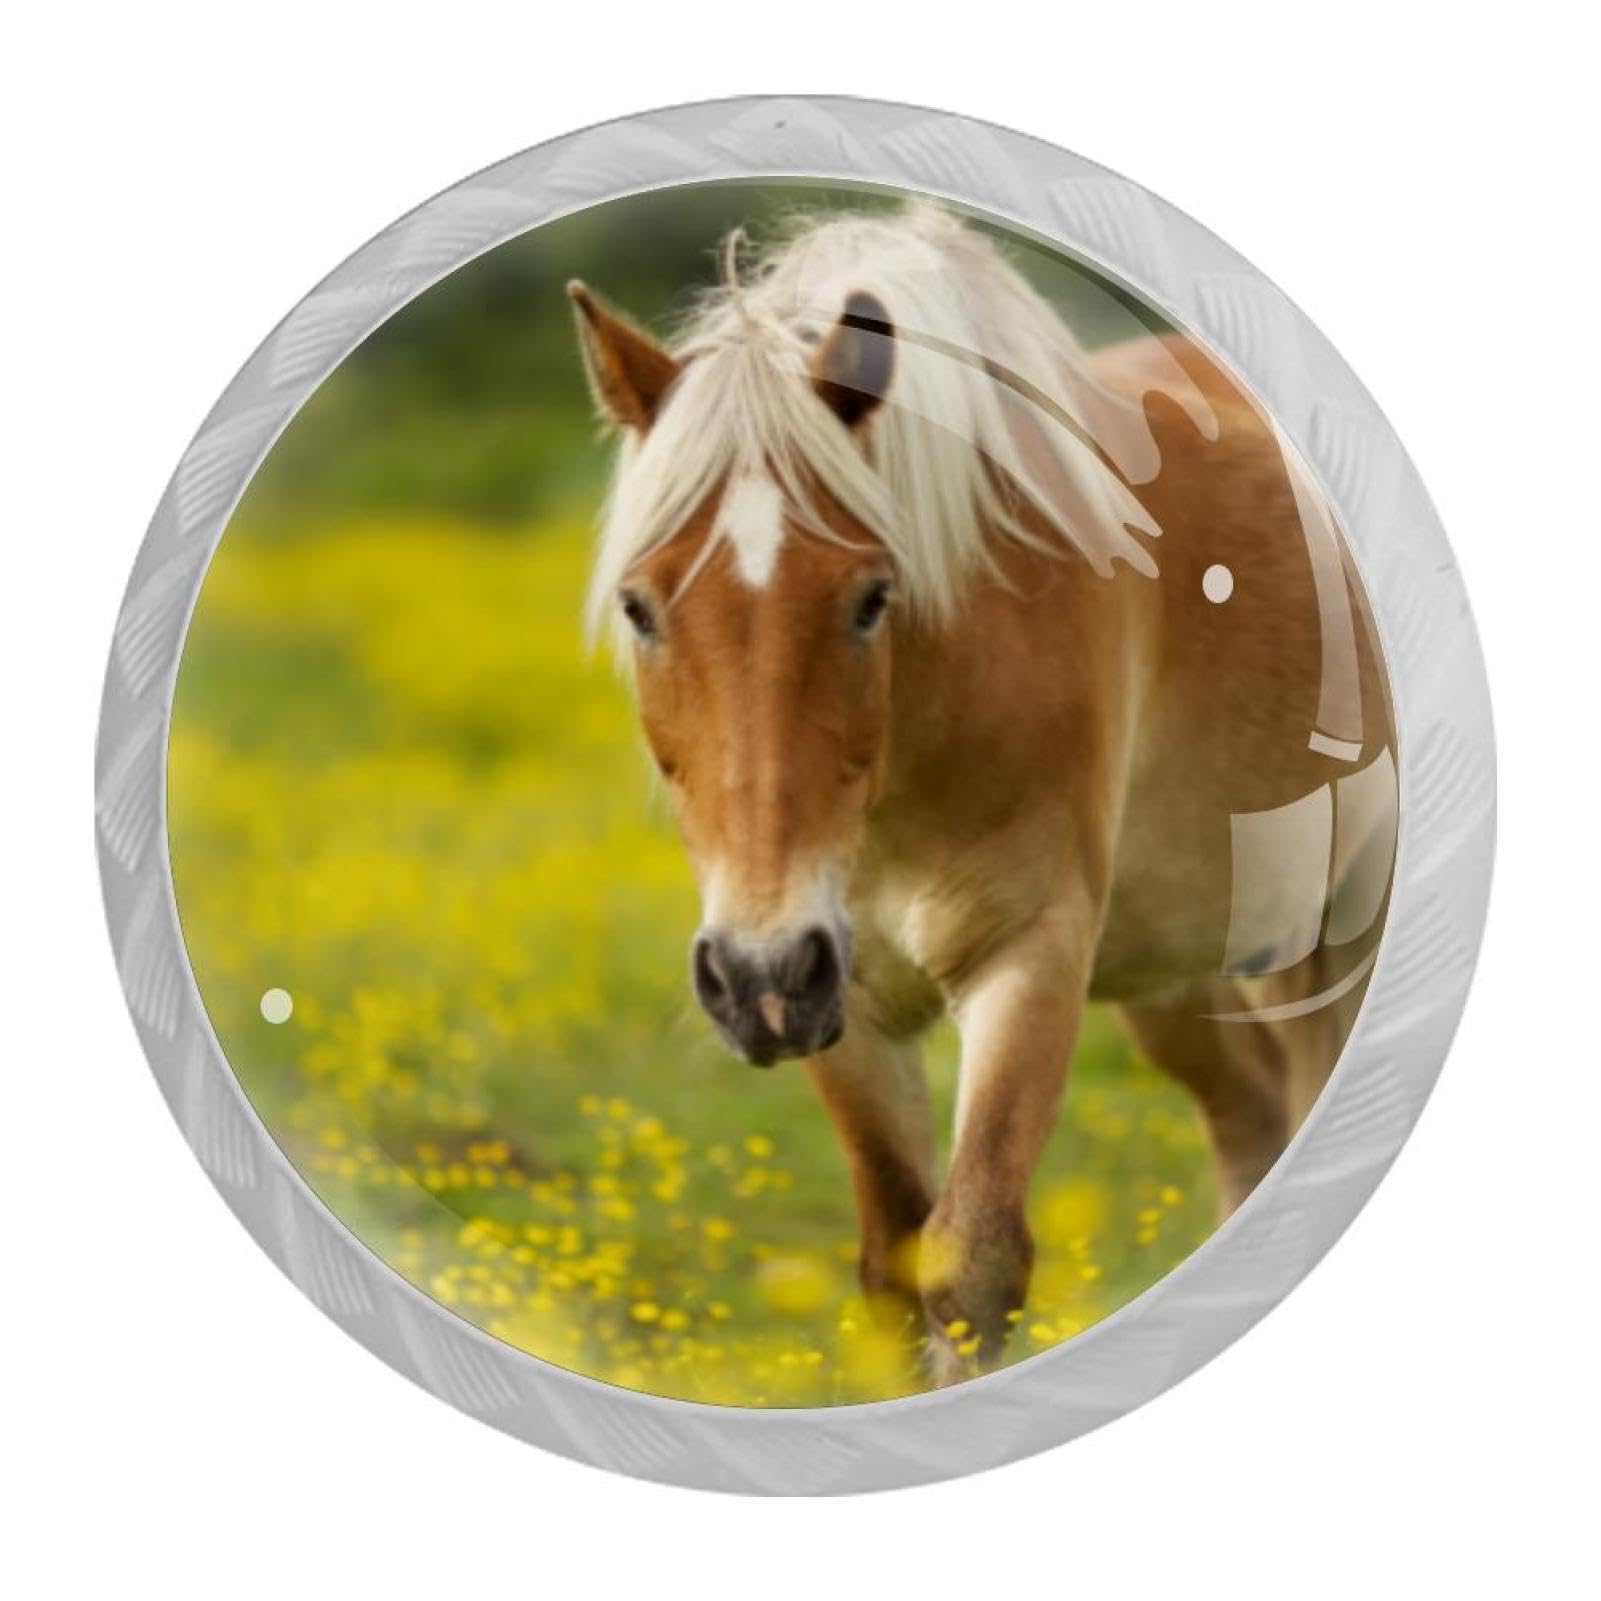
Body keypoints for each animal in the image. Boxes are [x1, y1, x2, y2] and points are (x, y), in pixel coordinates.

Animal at [568, 202, 1396, 1385]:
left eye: (871, 597)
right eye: (640, 608)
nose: (759, 975)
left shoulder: (1026, 957)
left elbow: (970, 1261)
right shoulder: (848, 1002)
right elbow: (891, 1265)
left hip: (1339, 931)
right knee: (1248, 1121)